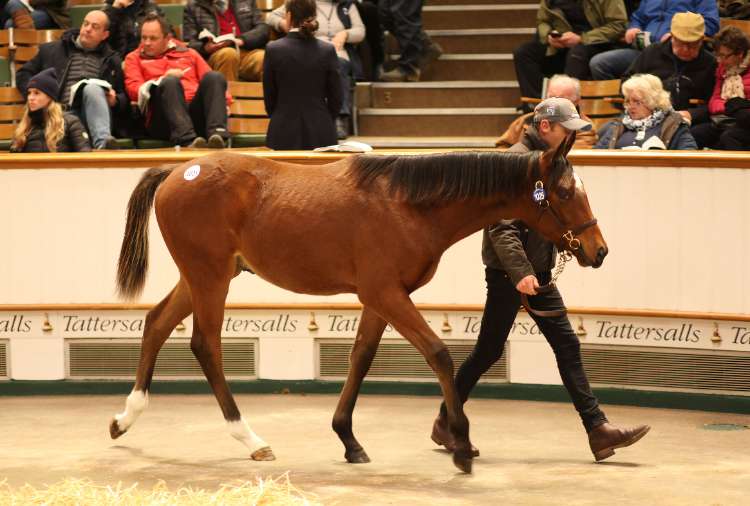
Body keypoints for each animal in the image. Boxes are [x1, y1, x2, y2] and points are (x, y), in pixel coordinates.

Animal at [110, 134, 607, 473]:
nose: (597, 250)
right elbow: (439, 354)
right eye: (565, 192)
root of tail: (177, 172)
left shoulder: (379, 298)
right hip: (210, 278)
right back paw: (250, 438)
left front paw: (348, 439)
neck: (409, 203)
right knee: (205, 345)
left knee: (156, 323)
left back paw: (124, 419)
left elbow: (361, 357)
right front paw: (462, 447)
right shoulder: (386, 293)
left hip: (203, 277)